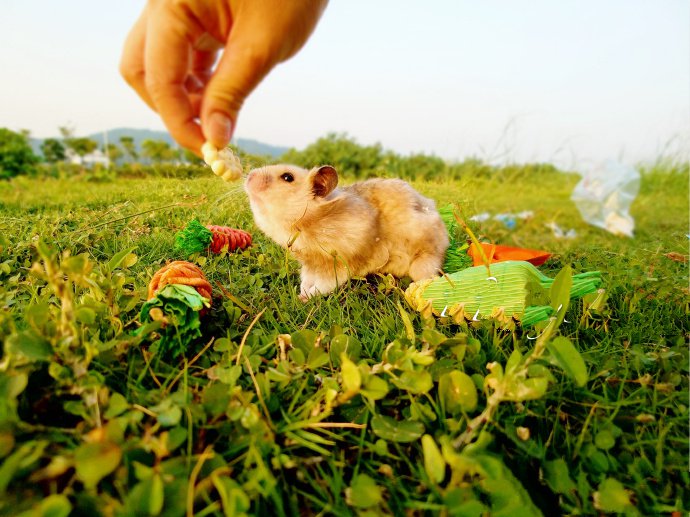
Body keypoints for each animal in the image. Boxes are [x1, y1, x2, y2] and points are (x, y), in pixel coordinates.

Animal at [245, 163, 448, 296]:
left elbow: (322, 285)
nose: (248, 177)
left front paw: (305, 298)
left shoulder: (340, 264)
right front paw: (301, 293)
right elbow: (306, 279)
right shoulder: (310, 264)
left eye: (287, 177)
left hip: (423, 261)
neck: (307, 226)